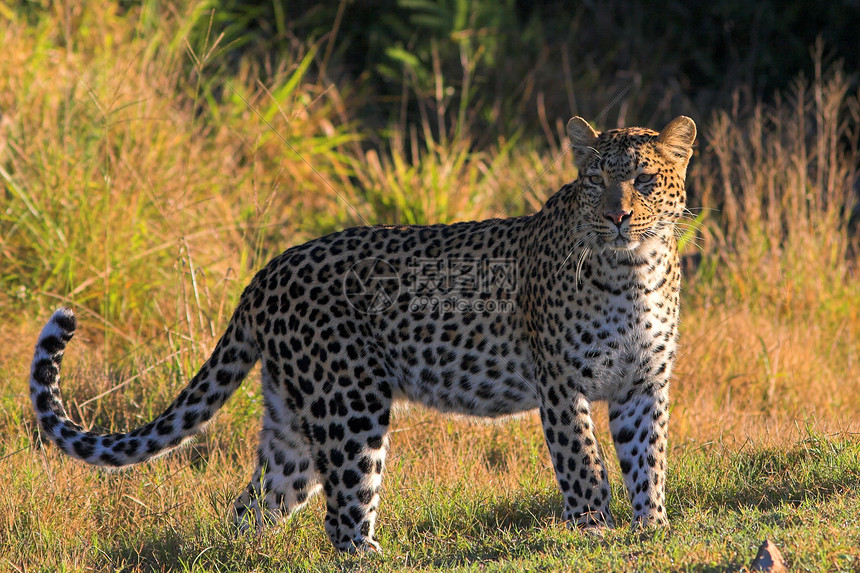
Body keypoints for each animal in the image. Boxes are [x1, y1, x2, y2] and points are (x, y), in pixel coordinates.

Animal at [28, 115, 700, 548]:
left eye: (643, 181)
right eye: (596, 182)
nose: (618, 215)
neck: (632, 269)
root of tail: (267, 271)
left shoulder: (644, 383)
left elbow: (648, 458)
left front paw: (652, 529)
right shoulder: (561, 384)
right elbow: (583, 462)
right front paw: (593, 534)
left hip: (295, 420)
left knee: (255, 505)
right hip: (349, 402)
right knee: (343, 517)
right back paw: (374, 556)